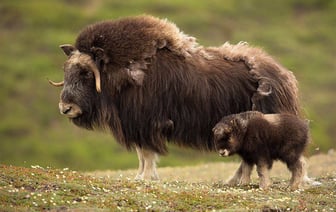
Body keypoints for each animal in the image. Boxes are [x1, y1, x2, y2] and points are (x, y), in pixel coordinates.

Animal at [49, 15, 302, 181]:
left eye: (85, 72)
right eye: (66, 70)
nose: (65, 108)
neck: (121, 72)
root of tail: (282, 73)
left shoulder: (145, 123)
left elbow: (147, 153)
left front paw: (145, 179)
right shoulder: (135, 124)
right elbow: (141, 155)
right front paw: (140, 177)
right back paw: (234, 181)